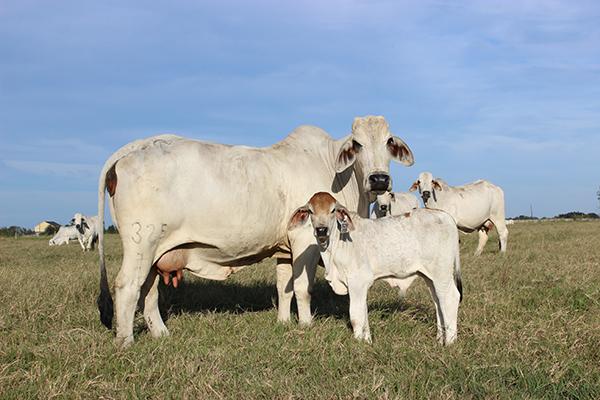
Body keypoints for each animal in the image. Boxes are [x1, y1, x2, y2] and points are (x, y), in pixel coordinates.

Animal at [97, 114, 418, 346]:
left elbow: (284, 287)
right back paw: (125, 341)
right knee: (127, 287)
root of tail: (132, 149)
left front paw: (284, 322)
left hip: (156, 252)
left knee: (148, 291)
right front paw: (306, 324)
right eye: (357, 143)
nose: (379, 179)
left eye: (388, 142)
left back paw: (160, 333)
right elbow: (302, 288)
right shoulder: (305, 239)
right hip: (141, 242)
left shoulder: (285, 249)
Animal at [288, 192, 462, 346]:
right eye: (311, 211)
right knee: (438, 301)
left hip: (442, 274)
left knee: (451, 298)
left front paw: (358, 344)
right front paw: (367, 341)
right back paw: (440, 339)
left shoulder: (357, 282)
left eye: (333, 210)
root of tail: (445, 216)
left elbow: (356, 317)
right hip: (430, 277)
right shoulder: (360, 287)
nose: (321, 230)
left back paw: (450, 342)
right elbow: (363, 315)